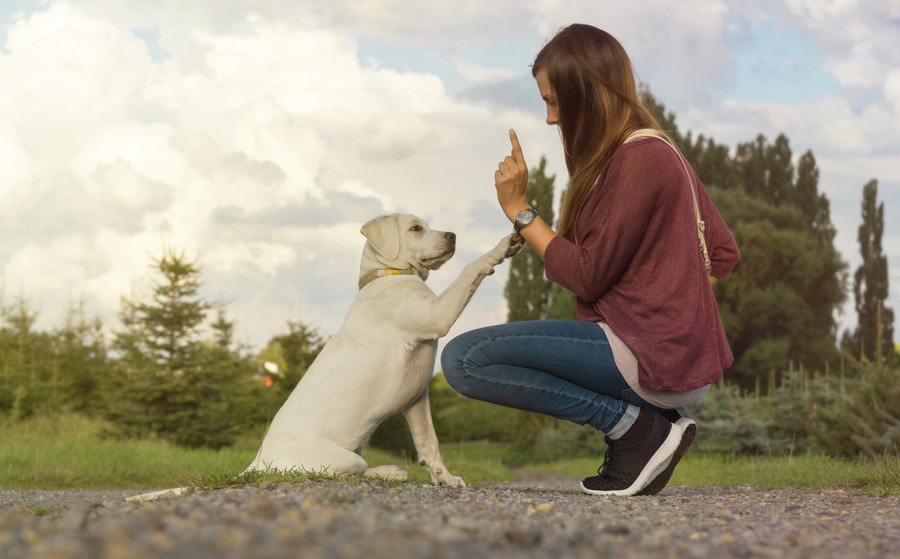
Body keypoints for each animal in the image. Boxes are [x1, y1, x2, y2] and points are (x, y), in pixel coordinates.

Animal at [128, 214, 520, 504]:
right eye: (415, 228)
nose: (453, 236)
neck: (388, 278)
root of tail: (257, 463)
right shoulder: (436, 315)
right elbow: (470, 271)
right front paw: (502, 247)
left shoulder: (416, 397)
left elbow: (430, 445)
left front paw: (446, 480)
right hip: (344, 458)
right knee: (345, 473)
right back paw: (386, 473)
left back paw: (393, 472)